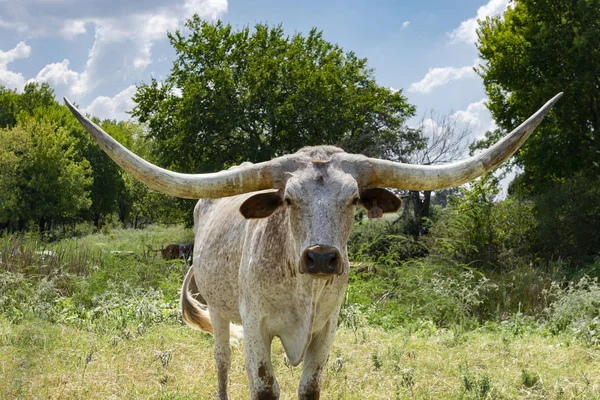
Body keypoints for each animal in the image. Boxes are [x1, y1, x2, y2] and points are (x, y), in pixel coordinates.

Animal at [65, 92, 564, 398]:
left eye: (354, 200)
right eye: (288, 199)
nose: (322, 257)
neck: (300, 288)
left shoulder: (327, 330)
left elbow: (309, 387)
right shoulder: (257, 328)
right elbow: (264, 386)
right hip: (222, 312)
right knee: (222, 360)